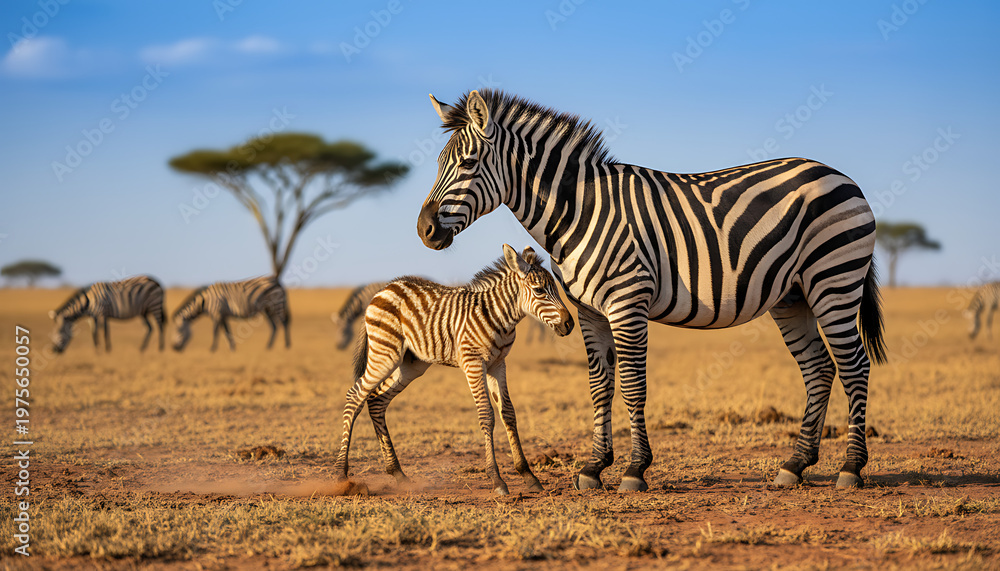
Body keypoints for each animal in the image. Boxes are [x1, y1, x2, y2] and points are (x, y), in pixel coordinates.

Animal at [333, 244, 574, 495]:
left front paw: (528, 475)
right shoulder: (473, 362)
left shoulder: (498, 364)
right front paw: (496, 479)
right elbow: (486, 415)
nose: (569, 324)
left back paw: (397, 473)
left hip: (411, 364)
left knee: (377, 400)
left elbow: (508, 413)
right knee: (355, 395)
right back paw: (341, 475)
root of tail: (384, 288)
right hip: (385, 354)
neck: (498, 316)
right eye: (539, 290)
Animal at [416, 89, 887, 491]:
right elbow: (599, 384)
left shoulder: (627, 302)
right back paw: (795, 465)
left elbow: (631, 383)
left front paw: (634, 469)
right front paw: (593, 468)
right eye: (439, 163)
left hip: (833, 280)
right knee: (819, 368)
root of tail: (841, 176)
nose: (424, 231)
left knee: (854, 366)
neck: (578, 212)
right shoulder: (588, 311)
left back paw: (851, 468)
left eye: (468, 163)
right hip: (792, 296)